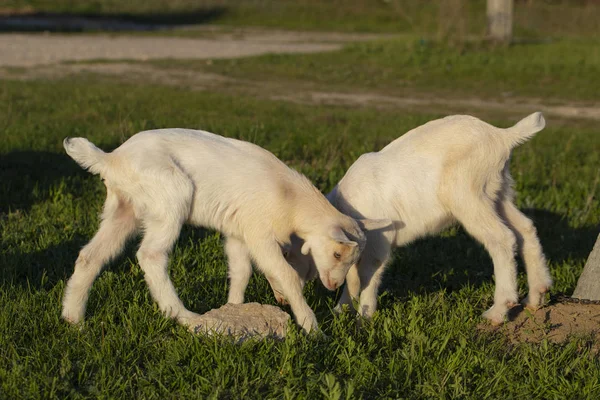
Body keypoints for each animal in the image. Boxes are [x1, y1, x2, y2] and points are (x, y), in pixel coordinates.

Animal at [62, 128, 380, 332]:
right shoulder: (258, 233)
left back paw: (73, 318)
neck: (289, 198)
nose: (334, 286)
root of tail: (112, 158)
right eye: (338, 255)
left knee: (91, 256)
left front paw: (235, 311)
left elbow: (241, 271)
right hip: (170, 197)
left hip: (124, 208)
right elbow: (286, 274)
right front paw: (312, 328)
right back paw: (183, 316)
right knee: (151, 255)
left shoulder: (238, 233)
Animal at [284, 111, 552, 324]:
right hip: (498, 192)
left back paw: (498, 310)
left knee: (502, 238)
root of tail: (502, 136)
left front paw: (363, 317)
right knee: (525, 228)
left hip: (468, 194)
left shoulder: (378, 240)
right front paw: (341, 309)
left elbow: (369, 273)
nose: (330, 285)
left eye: (335, 254)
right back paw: (536, 295)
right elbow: (354, 275)